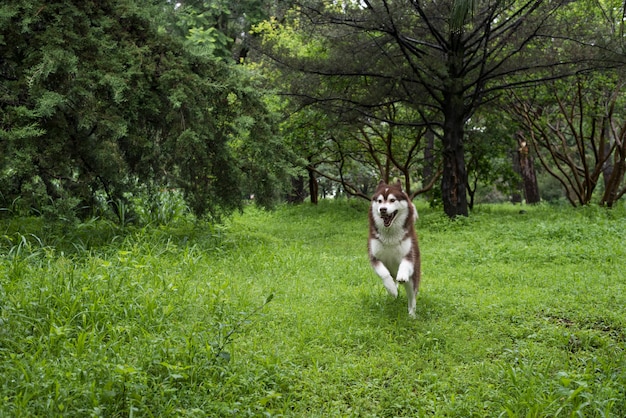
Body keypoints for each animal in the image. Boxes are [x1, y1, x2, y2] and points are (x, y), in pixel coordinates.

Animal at [366, 180, 420, 316]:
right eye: (380, 201)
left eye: (392, 200)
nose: (383, 209)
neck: (390, 236)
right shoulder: (374, 257)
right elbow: (384, 273)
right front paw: (391, 289)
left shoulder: (409, 254)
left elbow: (405, 264)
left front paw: (402, 275)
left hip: (413, 278)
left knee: (412, 296)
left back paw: (412, 314)